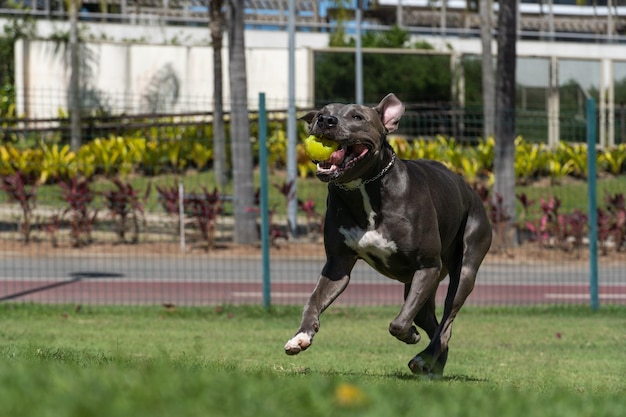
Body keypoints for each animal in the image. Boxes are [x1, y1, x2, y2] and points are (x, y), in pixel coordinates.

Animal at [284, 92, 492, 376]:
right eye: (321, 112)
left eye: (357, 116)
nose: (326, 120)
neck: (364, 188)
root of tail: (472, 192)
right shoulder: (337, 265)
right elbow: (313, 299)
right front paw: (301, 336)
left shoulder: (427, 265)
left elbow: (399, 323)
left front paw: (410, 336)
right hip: (423, 285)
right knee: (434, 324)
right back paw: (434, 367)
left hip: (463, 268)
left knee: (446, 323)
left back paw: (424, 358)